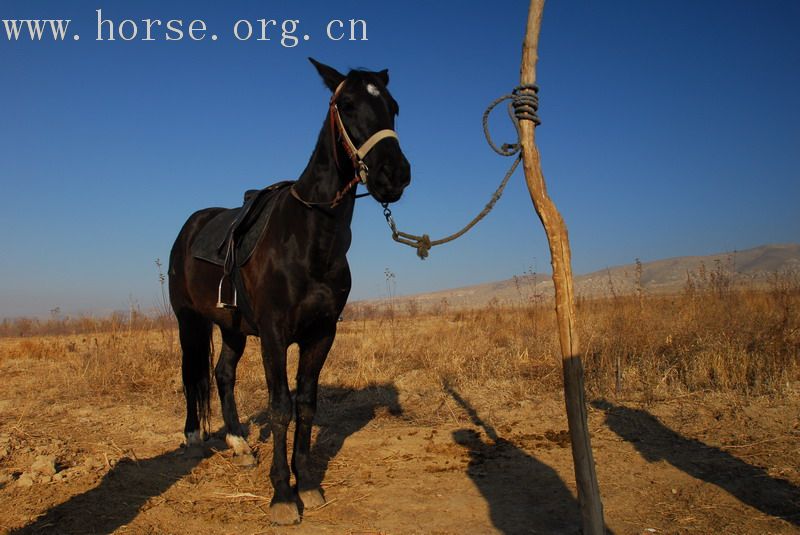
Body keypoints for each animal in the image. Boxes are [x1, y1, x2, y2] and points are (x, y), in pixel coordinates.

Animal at [166, 57, 410, 524]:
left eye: (394, 107)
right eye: (347, 105)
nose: (395, 174)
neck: (309, 237)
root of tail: (190, 227)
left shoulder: (321, 334)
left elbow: (306, 404)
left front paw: (308, 483)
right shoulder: (275, 335)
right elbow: (280, 406)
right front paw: (282, 494)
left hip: (233, 328)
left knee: (222, 374)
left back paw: (240, 444)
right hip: (189, 322)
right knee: (194, 376)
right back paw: (193, 439)